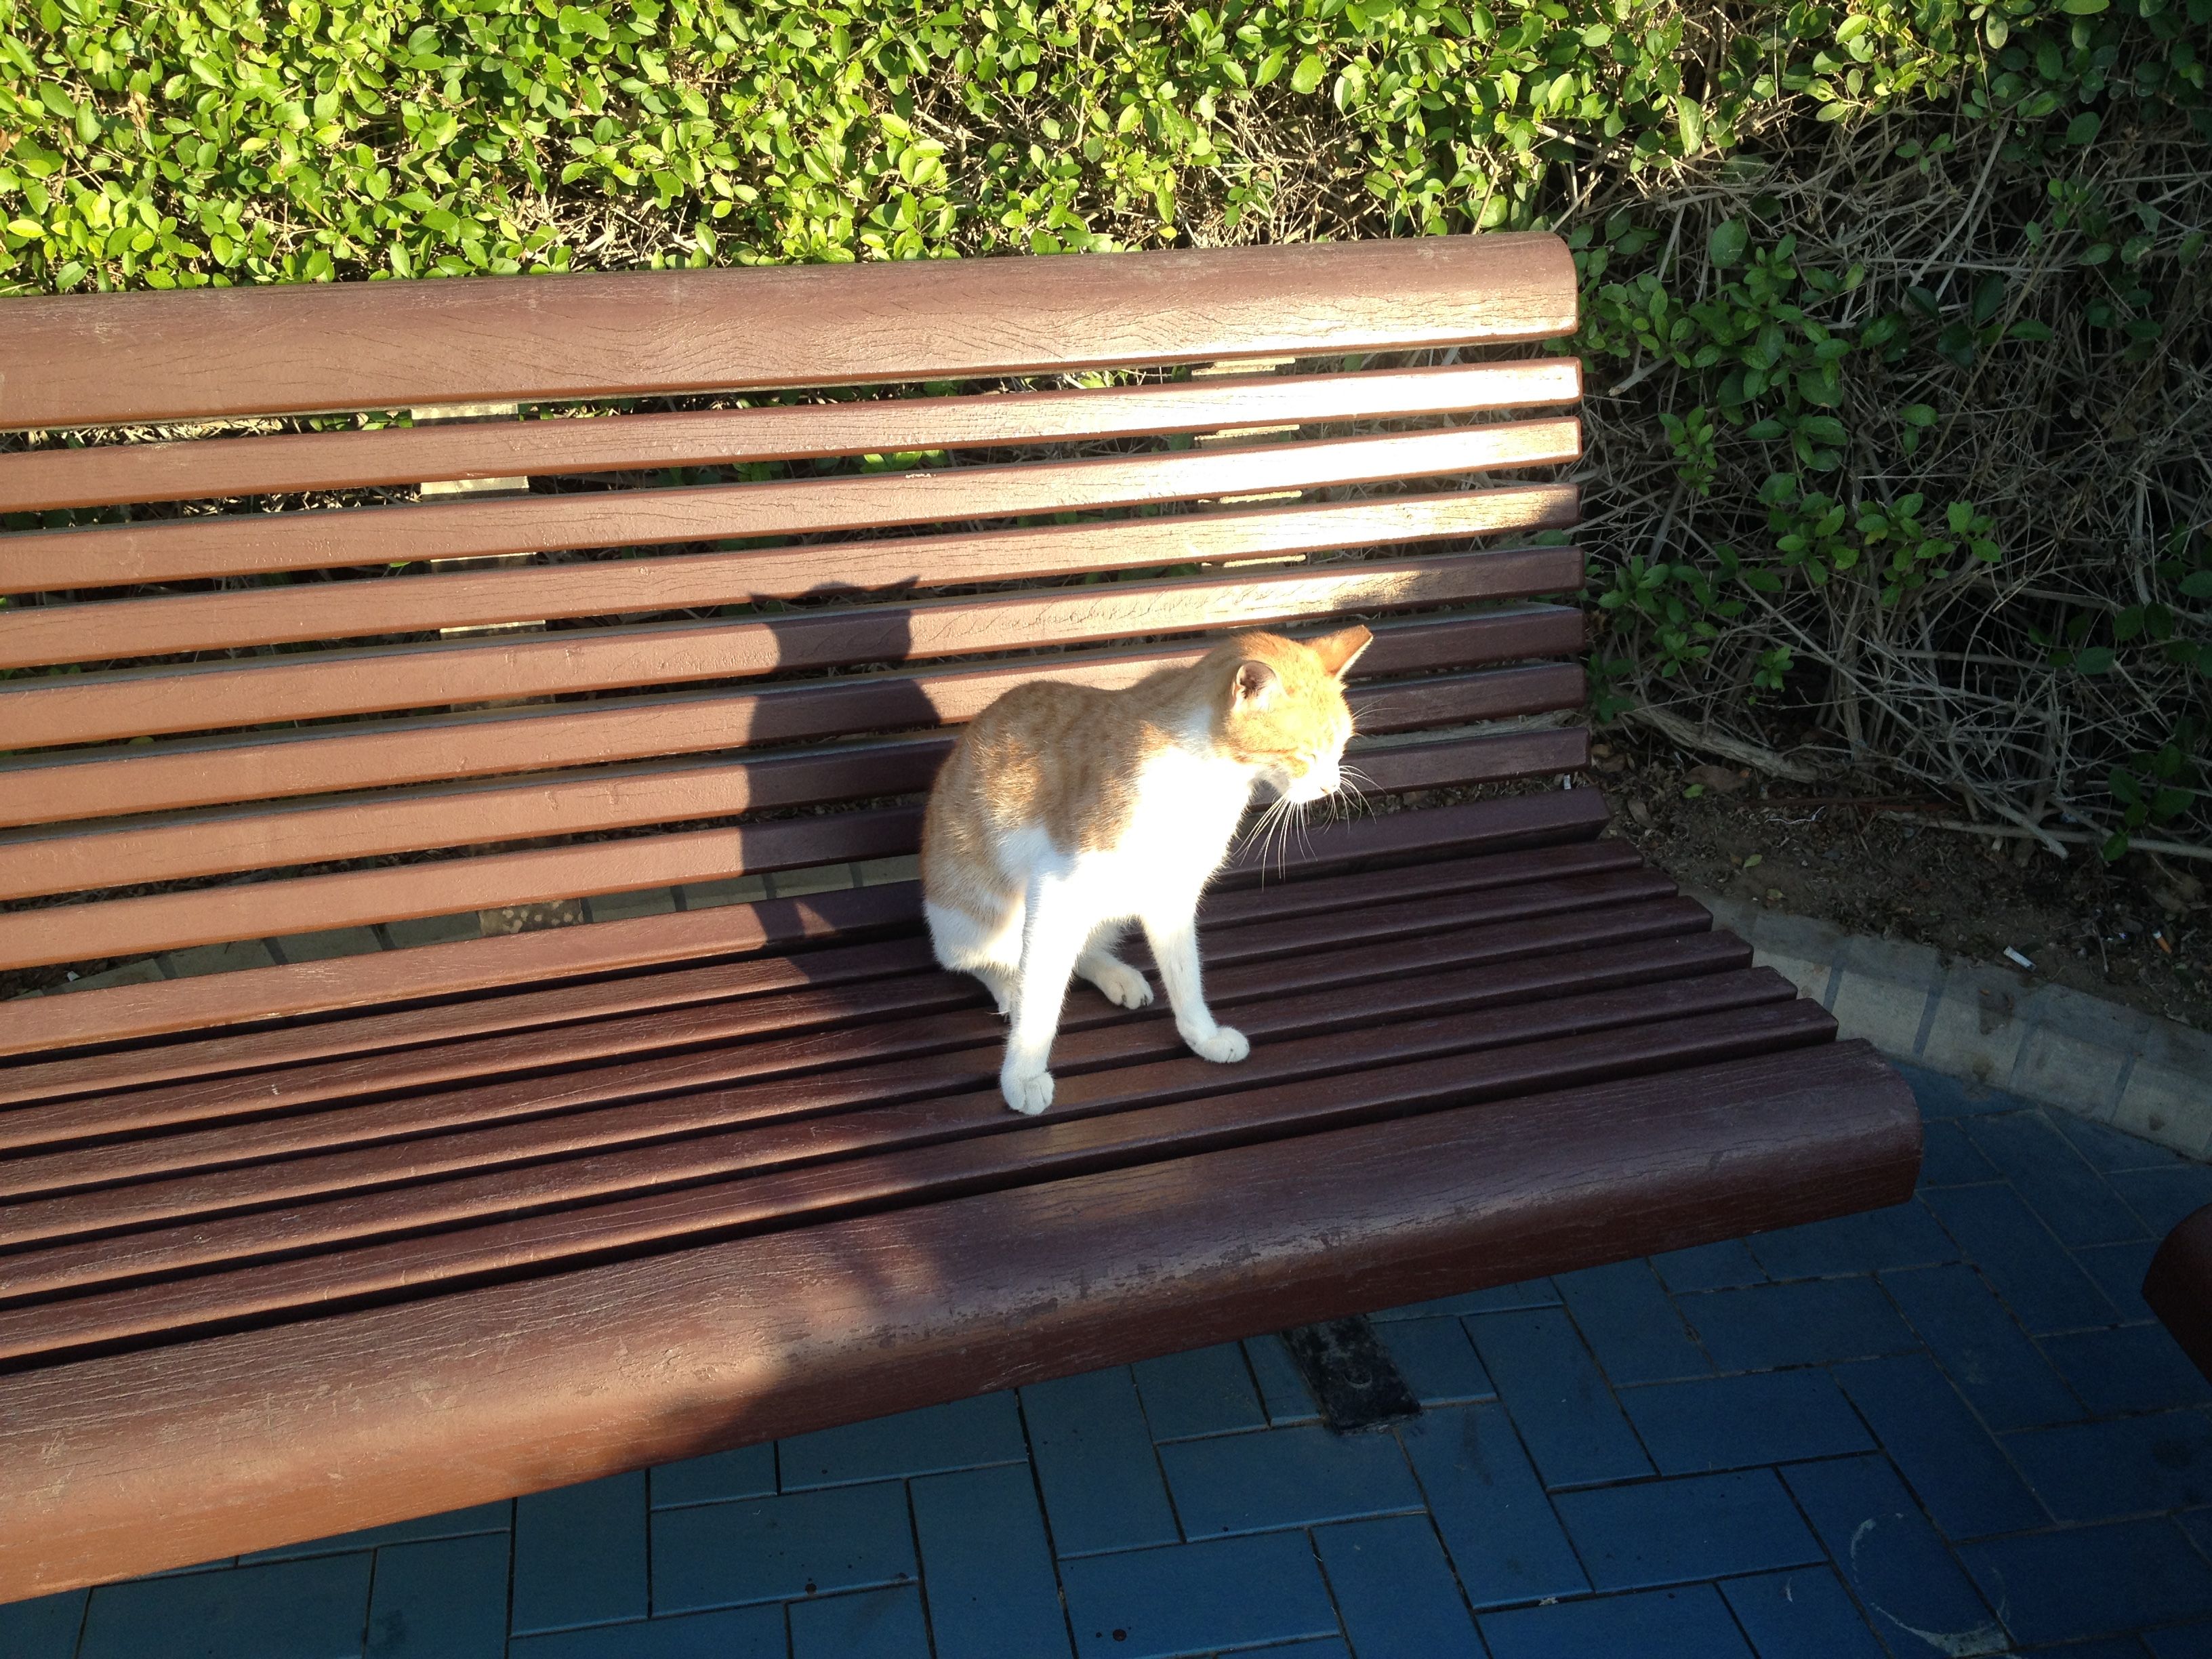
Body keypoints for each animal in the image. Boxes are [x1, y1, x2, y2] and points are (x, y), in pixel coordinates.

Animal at [921, 623, 1373, 1115]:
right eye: (1305, 754)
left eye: (1341, 748)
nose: (1331, 787)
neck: (1207, 778)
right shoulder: (1057, 888)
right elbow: (1039, 995)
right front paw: (1022, 1074)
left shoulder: (1172, 896)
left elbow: (1186, 974)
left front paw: (1204, 1037)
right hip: (972, 920)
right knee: (986, 960)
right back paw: (1008, 987)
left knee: (1083, 949)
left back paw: (1114, 974)